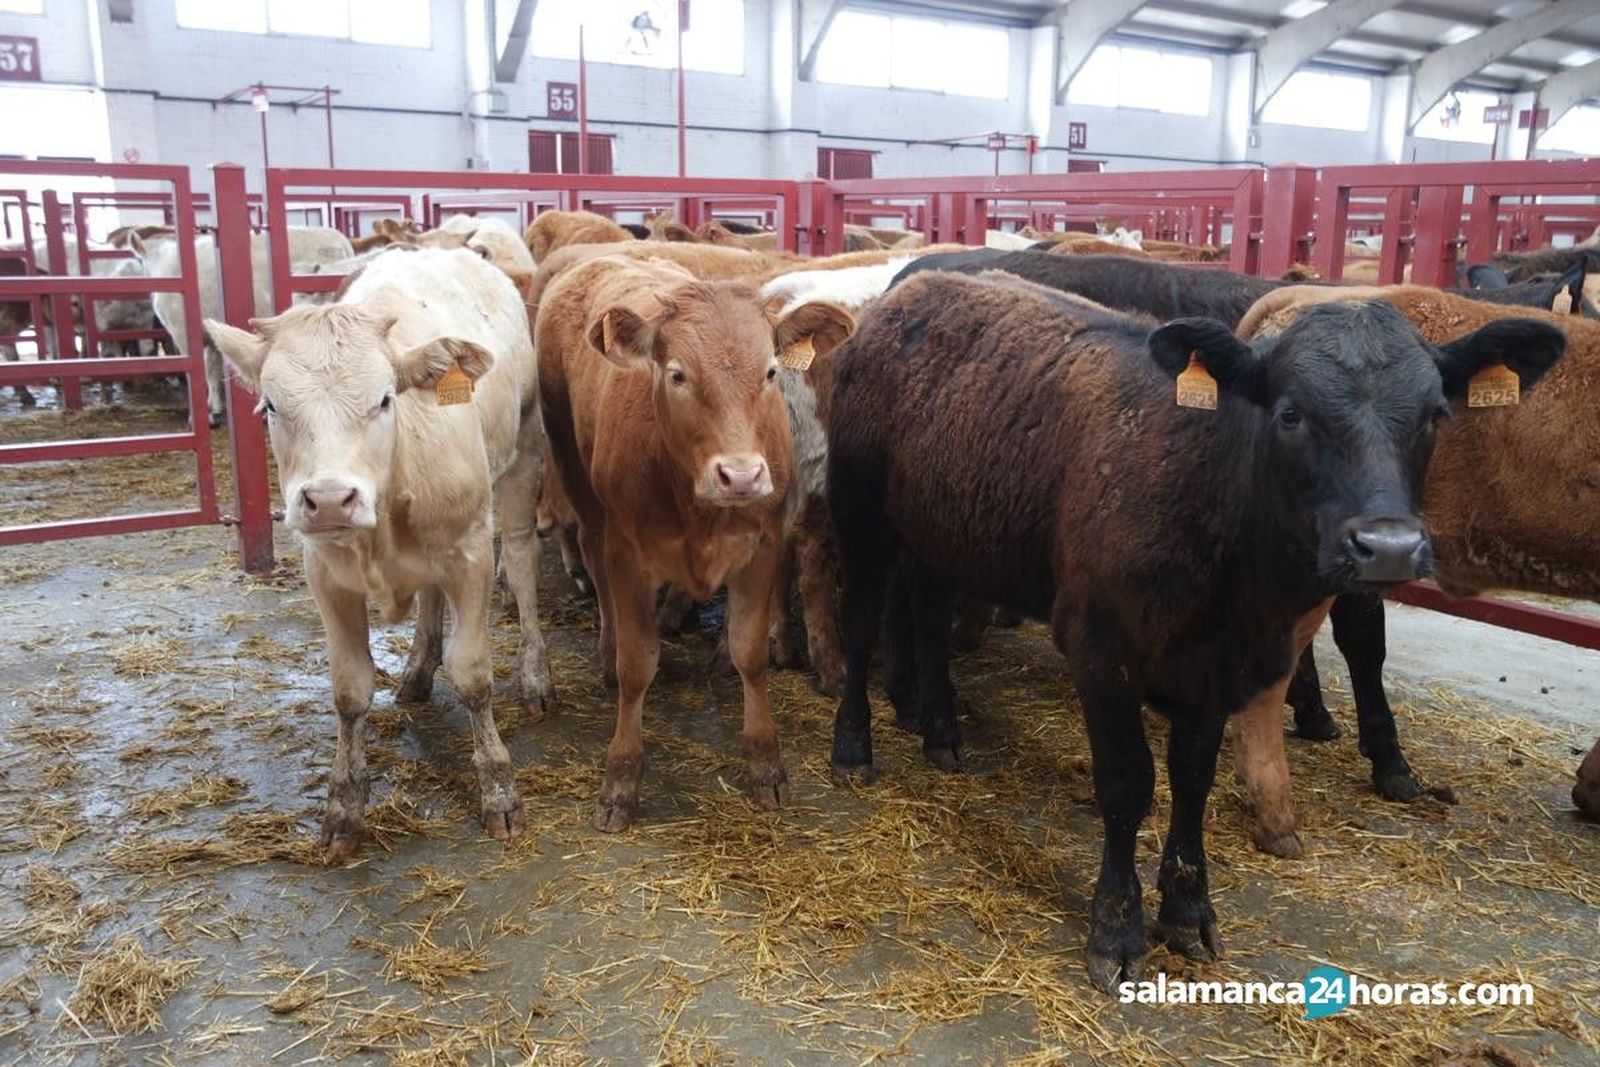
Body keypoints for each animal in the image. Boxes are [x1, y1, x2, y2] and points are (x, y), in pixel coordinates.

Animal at [205, 247, 552, 861]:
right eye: (270, 406)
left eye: (385, 398)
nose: (328, 499)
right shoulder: (325, 575)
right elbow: (349, 689)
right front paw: (344, 806)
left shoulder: (469, 554)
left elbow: (474, 674)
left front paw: (499, 789)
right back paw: (417, 667)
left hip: (524, 451)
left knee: (519, 558)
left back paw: (535, 674)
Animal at [536, 253, 853, 832]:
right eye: (678, 374)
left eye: (770, 372)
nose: (741, 476)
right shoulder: (628, 555)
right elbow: (637, 665)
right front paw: (621, 778)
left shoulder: (761, 548)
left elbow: (751, 652)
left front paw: (766, 763)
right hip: (572, 463)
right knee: (592, 556)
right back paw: (606, 646)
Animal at [824, 268, 1563, 989]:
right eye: (1290, 413)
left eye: (1437, 414)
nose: (1386, 547)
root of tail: (908, 293)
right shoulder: (1101, 647)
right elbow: (1127, 782)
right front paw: (1116, 930)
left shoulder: (1216, 667)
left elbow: (1192, 779)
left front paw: (1186, 910)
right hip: (861, 515)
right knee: (859, 626)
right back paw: (854, 746)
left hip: (942, 532)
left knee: (927, 617)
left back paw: (941, 731)